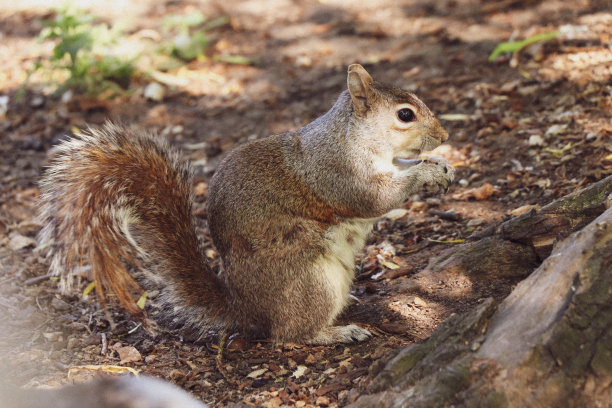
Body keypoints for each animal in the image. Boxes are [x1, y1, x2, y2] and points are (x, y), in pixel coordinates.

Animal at [35, 63, 452, 344]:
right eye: (405, 114)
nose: (445, 136)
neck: (352, 137)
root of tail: (245, 307)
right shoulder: (338, 173)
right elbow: (377, 198)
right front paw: (427, 173)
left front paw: (440, 164)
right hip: (309, 279)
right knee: (288, 335)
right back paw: (337, 332)